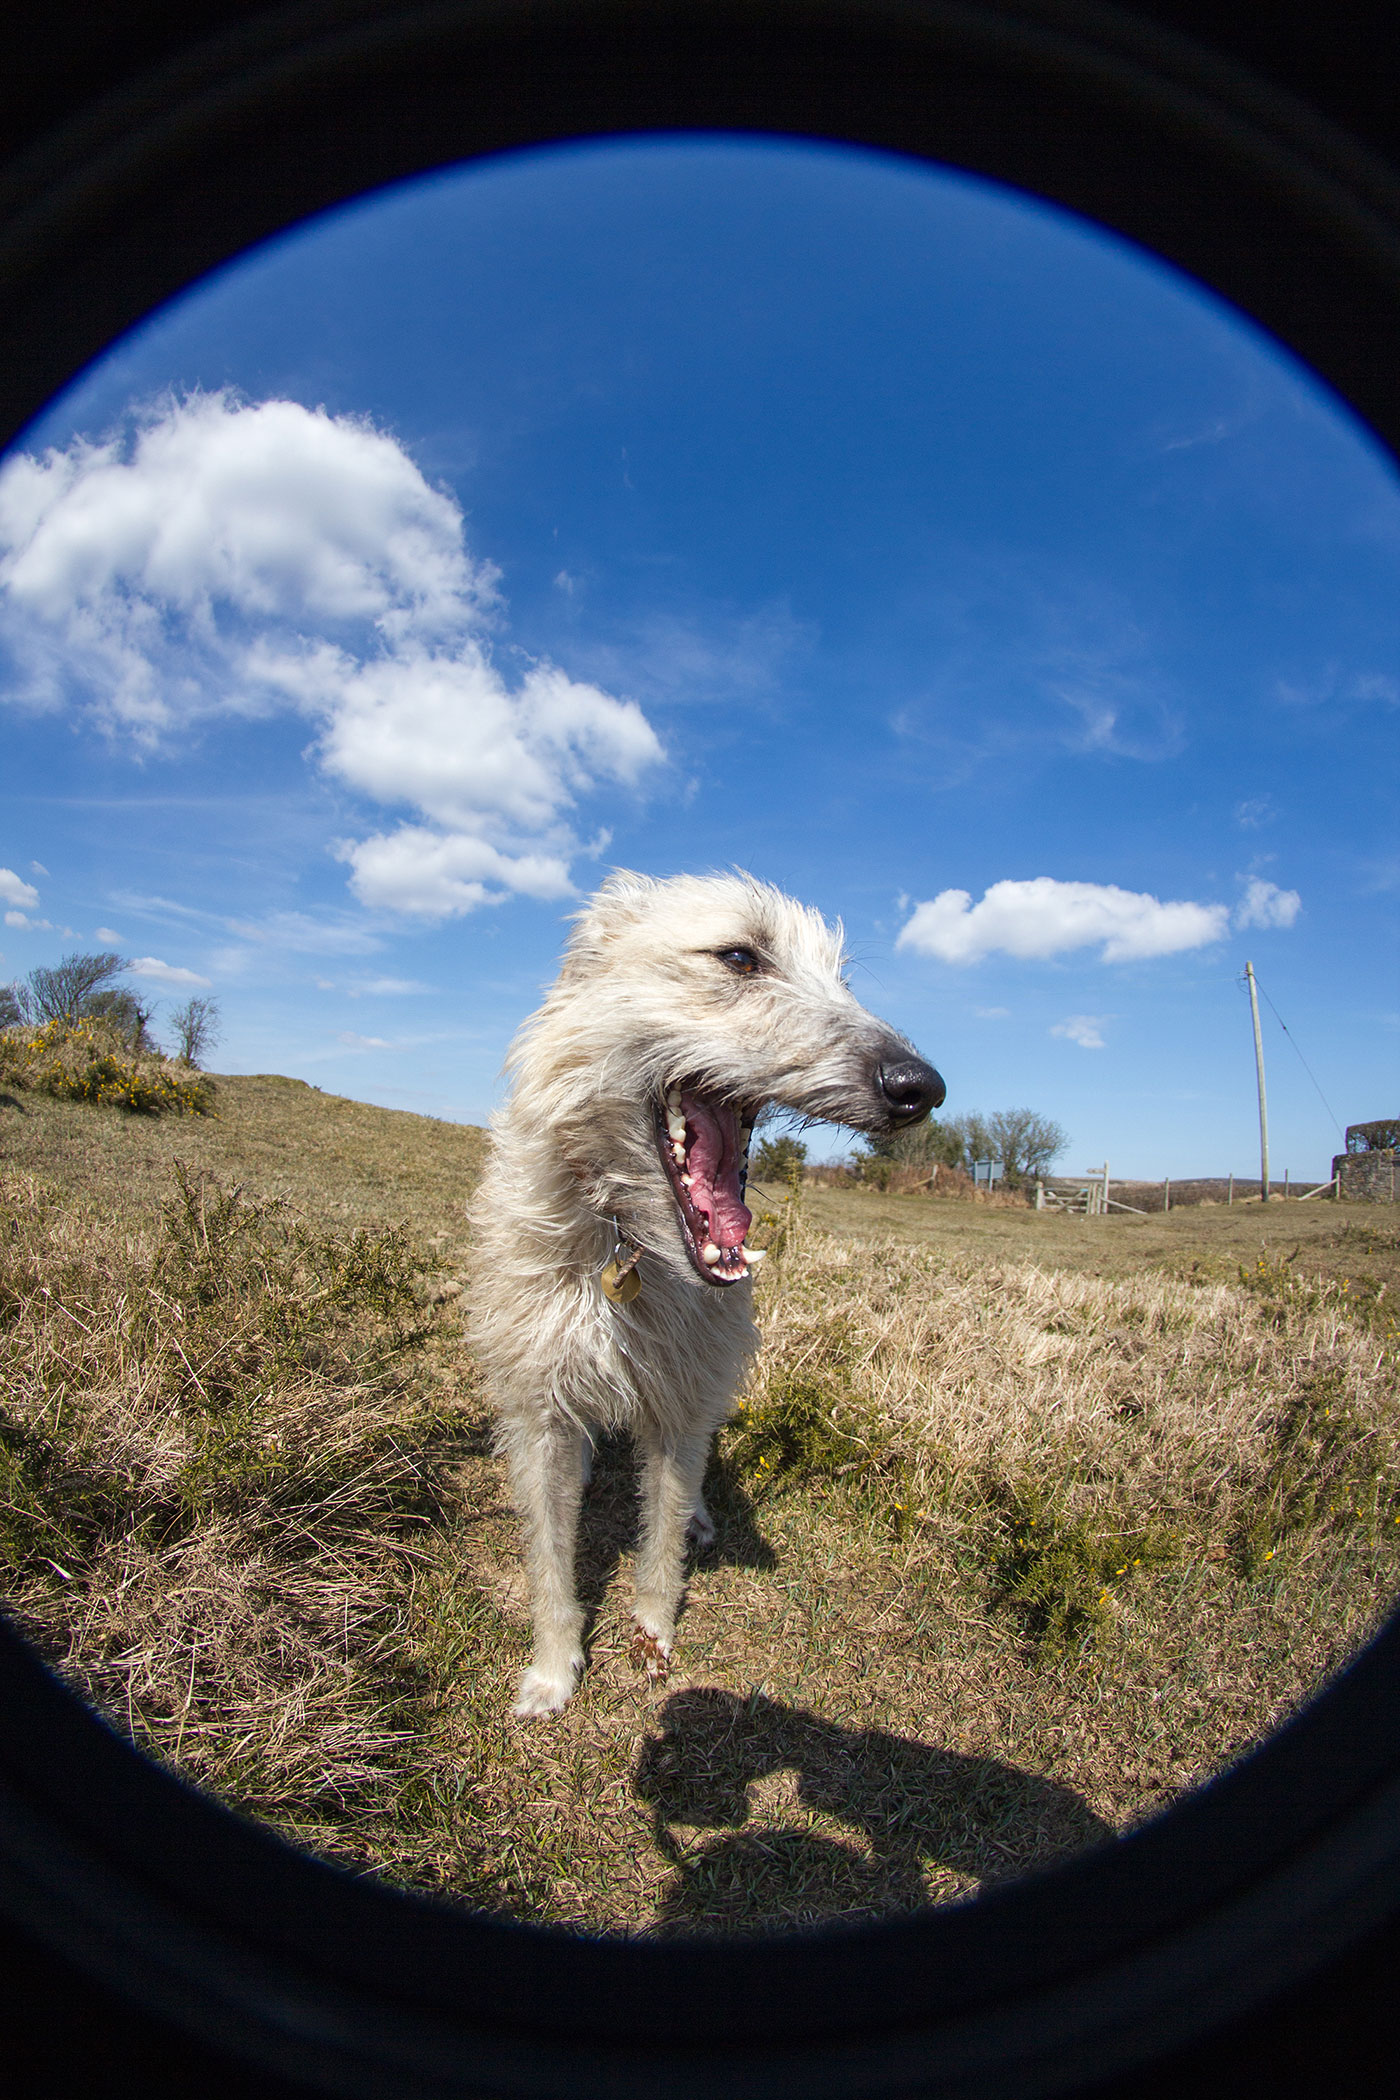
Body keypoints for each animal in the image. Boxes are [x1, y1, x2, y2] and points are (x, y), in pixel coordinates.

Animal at [468, 869, 940, 1705]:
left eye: (842, 980)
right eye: (739, 957)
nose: (921, 1088)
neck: (627, 1241)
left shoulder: (683, 1408)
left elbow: (660, 1538)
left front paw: (654, 1632)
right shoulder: (541, 1408)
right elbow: (550, 1559)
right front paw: (553, 1670)